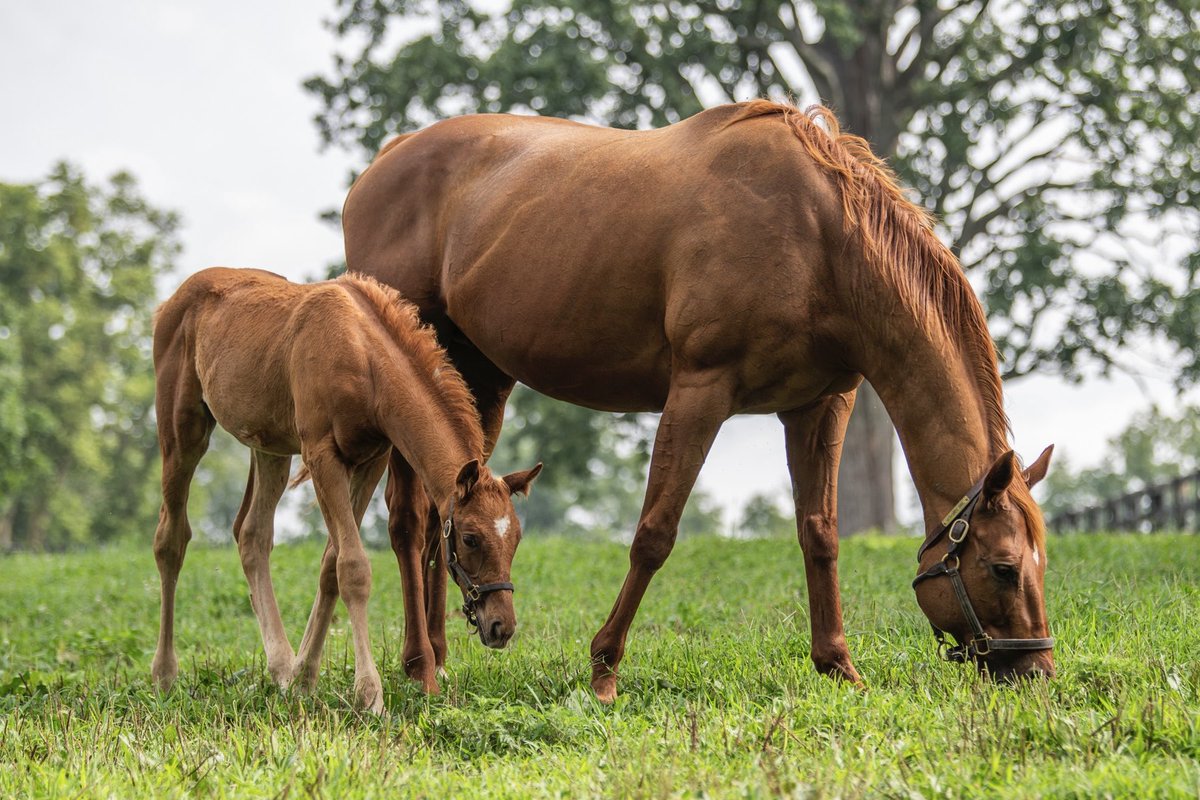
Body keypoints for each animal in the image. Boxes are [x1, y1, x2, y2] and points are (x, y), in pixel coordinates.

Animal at [149, 268, 541, 712]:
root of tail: (173, 300)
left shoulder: (370, 460)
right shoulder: (322, 455)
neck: (363, 354)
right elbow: (353, 567)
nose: (501, 626)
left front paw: (303, 678)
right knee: (170, 539)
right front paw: (370, 695)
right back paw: (165, 675)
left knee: (252, 535)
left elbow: (330, 565)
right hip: (182, 431)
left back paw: (281, 667)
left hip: (270, 447)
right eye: (471, 538)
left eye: (516, 538)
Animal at [341, 100, 1056, 702]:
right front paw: (604, 668)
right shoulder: (700, 390)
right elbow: (654, 534)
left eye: (1038, 563)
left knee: (446, 512)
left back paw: (437, 657)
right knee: (411, 522)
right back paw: (420, 667)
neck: (818, 238)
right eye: (1002, 568)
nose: (1037, 669)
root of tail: (383, 162)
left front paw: (838, 666)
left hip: (478, 379)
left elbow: (820, 533)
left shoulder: (820, 407)